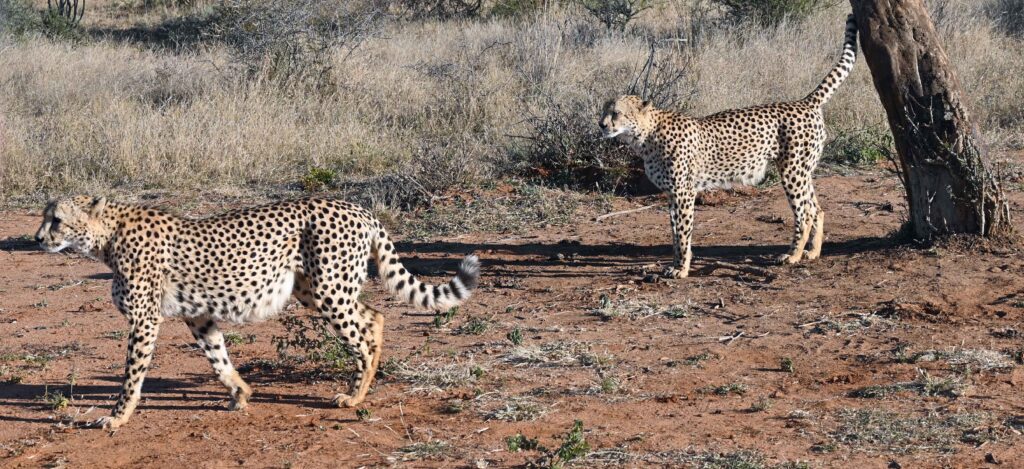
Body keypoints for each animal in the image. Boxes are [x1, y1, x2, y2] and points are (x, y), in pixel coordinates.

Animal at [34, 195, 477, 430]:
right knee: (375, 317)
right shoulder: (198, 314)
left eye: (56, 220)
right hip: (313, 289)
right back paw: (362, 384)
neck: (107, 236)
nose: (37, 239)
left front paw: (117, 417)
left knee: (364, 335)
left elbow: (131, 375)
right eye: (45, 217)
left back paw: (355, 395)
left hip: (329, 291)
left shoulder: (144, 320)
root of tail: (356, 207)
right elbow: (218, 358)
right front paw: (240, 394)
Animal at [598, 15, 860, 278]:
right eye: (603, 111)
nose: (601, 125)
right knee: (817, 209)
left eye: (616, 113)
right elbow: (674, 233)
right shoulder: (671, 194)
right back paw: (813, 252)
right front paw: (677, 263)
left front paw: (681, 268)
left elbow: (682, 233)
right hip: (803, 171)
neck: (646, 136)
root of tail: (805, 102)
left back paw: (792, 255)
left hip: (792, 172)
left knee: (804, 213)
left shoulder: (684, 192)